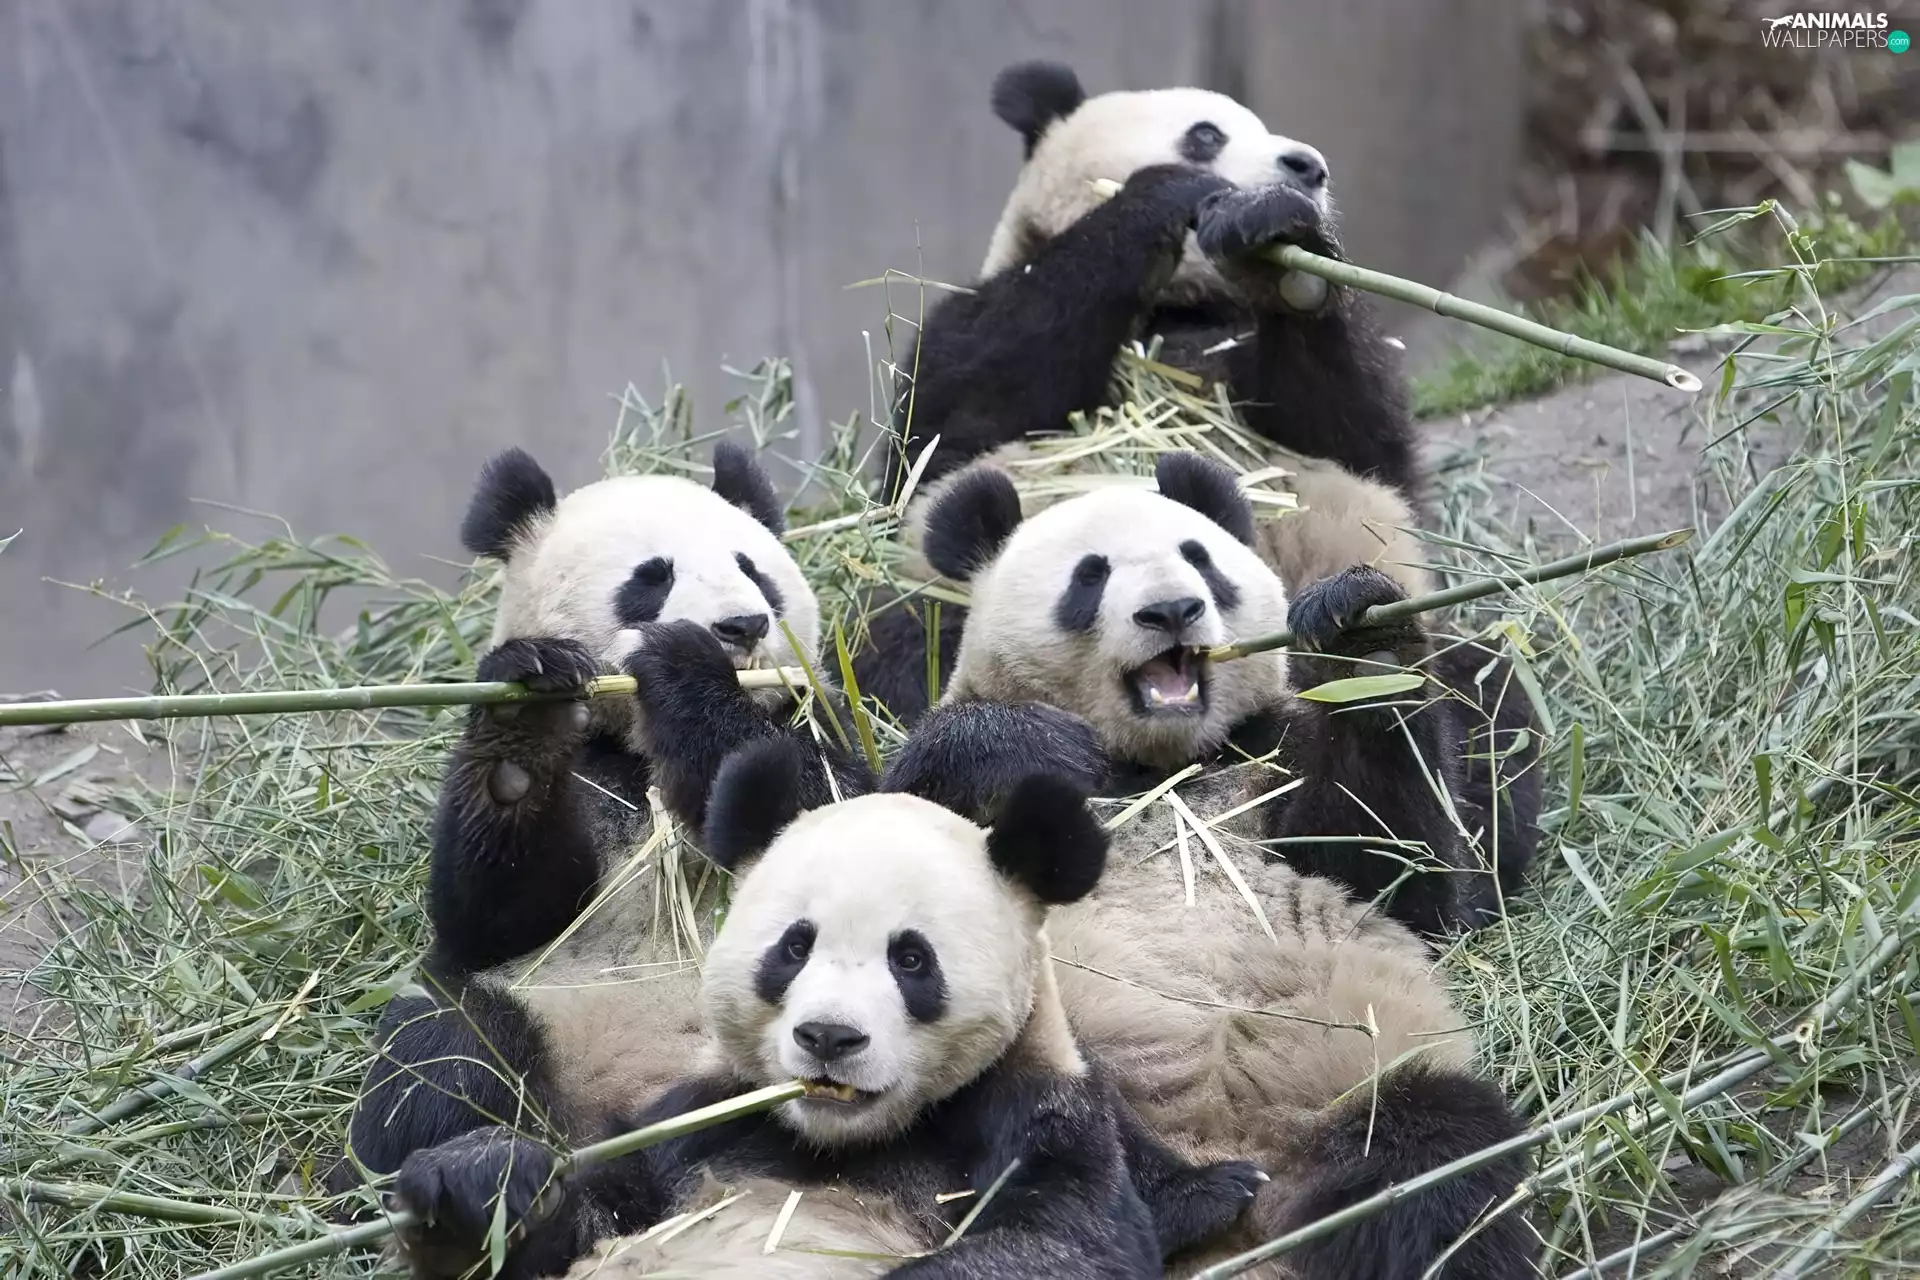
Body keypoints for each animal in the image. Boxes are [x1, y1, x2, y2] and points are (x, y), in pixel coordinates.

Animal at [345, 443, 872, 1200]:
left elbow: (841, 816)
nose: (741, 626)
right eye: (651, 577)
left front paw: (685, 666)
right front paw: (524, 718)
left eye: (753, 570)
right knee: (444, 1045)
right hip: (536, 1017)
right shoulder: (593, 781)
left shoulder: (828, 713)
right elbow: (498, 916)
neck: (639, 745)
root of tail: (608, 1111)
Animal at [384, 731, 1270, 1280]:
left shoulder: (1032, 1111)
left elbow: (1059, 1243)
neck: (841, 1140)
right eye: (794, 946)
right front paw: (480, 1185)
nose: (829, 1037)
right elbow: (592, 1214)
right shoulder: (701, 1119)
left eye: (911, 960)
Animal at [853, 61, 1441, 728]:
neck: (1180, 307)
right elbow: (968, 402)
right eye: (1206, 135)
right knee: (905, 641)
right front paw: (1171, 195)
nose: (1308, 167)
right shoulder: (961, 348)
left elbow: (1357, 435)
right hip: (943, 599)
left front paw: (1282, 245)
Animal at [883, 450, 1539, 1276]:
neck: (1165, 769)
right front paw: (1027, 746)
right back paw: (1181, 1198)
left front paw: (1360, 644)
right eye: (1090, 575)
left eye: (1199, 558)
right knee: (1046, 1107)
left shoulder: (1269, 763)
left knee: (1439, 1160)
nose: (1171, 610)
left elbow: (1393, 869)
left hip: (1352, 1087)